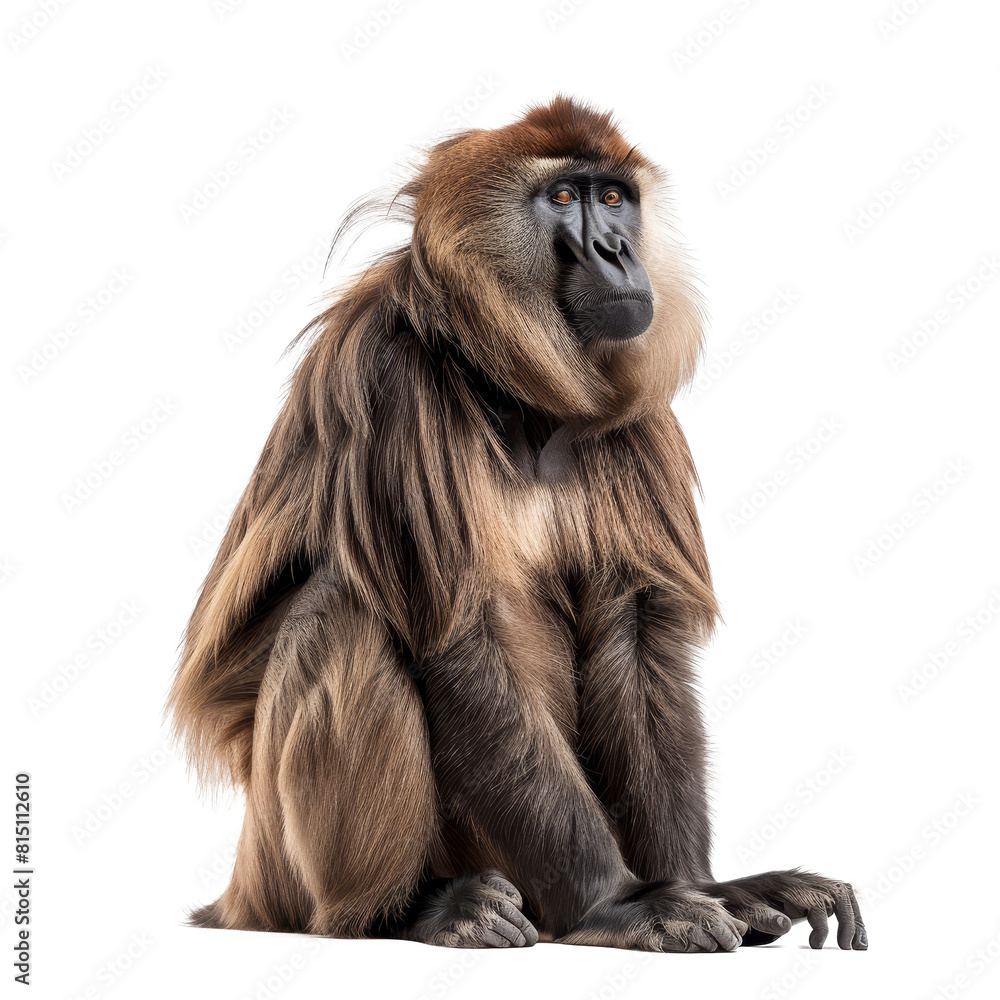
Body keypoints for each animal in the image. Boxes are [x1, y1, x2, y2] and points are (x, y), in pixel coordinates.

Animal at [169, 96, 867, 953]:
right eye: (564, 198)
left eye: (613, 198)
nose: (615, 249)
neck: (516, 398)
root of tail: (237, 893)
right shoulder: (391, 376)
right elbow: (455, 638)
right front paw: (618, 903)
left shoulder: (632, 419)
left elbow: (635, 636)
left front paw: (706, 887)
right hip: (279, 873)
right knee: (342, 614)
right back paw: (402, 912)